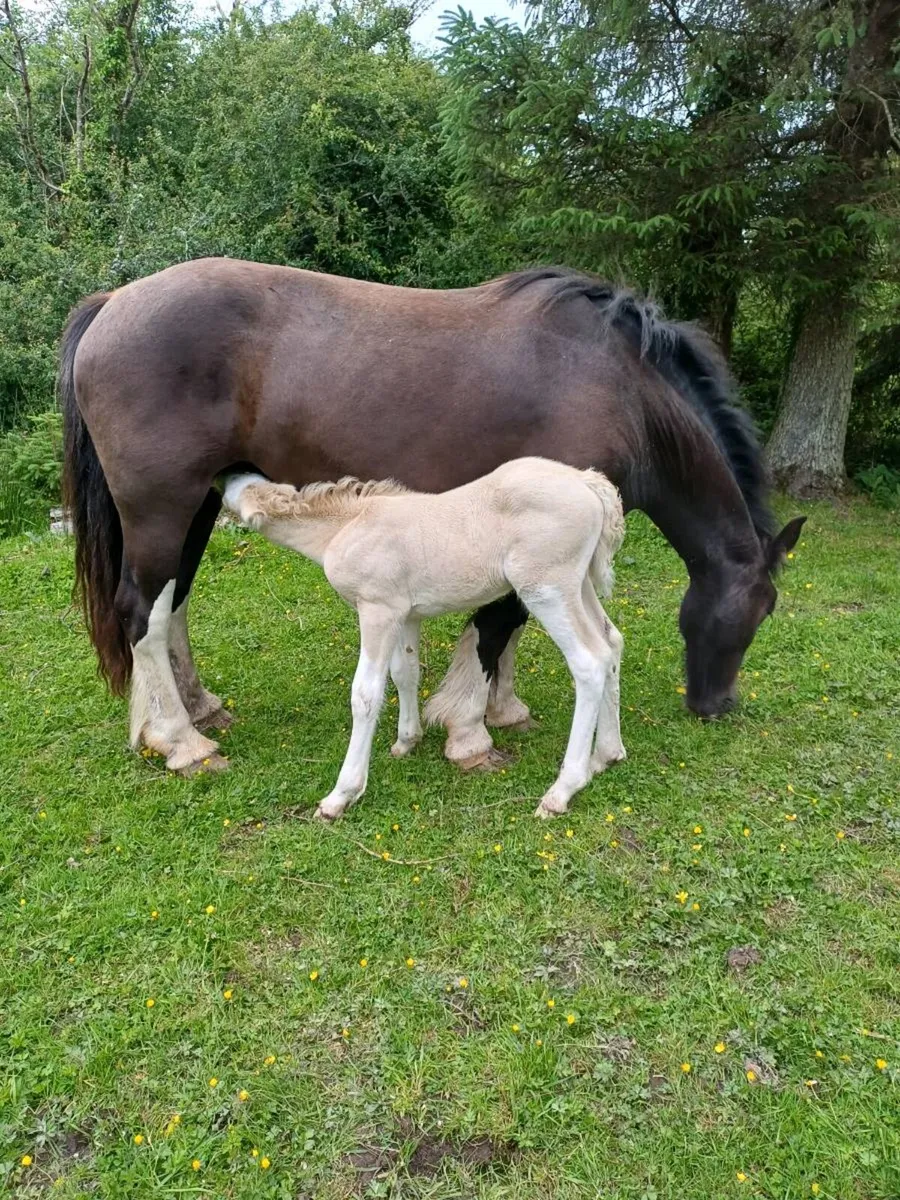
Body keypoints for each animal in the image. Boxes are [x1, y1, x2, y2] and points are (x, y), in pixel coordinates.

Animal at [60, 258, 804, 774]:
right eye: (759, 612)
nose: (716, 705)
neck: (621, 388)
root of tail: (113, 304)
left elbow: (510, 627)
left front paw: (503, 708)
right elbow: (496, 625)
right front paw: (470, 728)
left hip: (197, 504)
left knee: (171, 605)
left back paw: (196, 709)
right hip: (162, 506)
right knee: (141, 612)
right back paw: (181, 742)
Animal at [221, 459, 626, 818]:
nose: (226, 472)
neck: (345, 526)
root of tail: (588, 483)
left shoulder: (377, 610)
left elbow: (365, 694)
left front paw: (341, 796)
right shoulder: (405, 615)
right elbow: (405, 673)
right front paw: (406, 741)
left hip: (547, 589)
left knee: (589, 662)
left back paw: (562, 791)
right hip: (578, 585)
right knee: (611, 643)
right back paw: (606, 754)